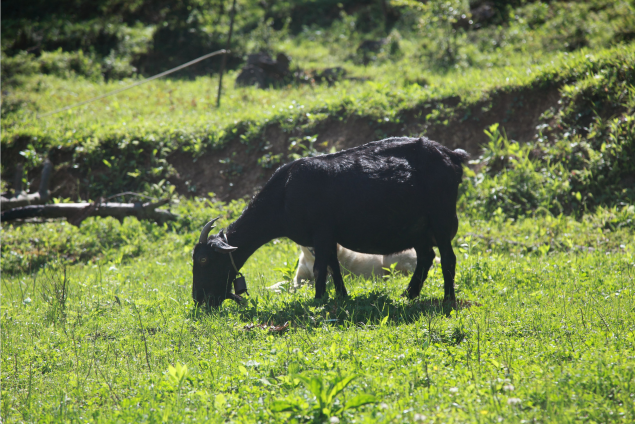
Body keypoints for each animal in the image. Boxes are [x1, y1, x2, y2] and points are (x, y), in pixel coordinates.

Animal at [191, 139, 470, 308]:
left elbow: (320, 269)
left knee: (447, 258)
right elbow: (333, 267)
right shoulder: (326, 236)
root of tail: (452, 156)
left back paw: (448, 300)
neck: (285, 194)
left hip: (440, 217)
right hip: (417, 228)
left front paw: (318, 299)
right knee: (426, 256)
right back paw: (408, 294)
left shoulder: (322, 232)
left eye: (204, 260)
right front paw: (341, 297)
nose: (198, 299)